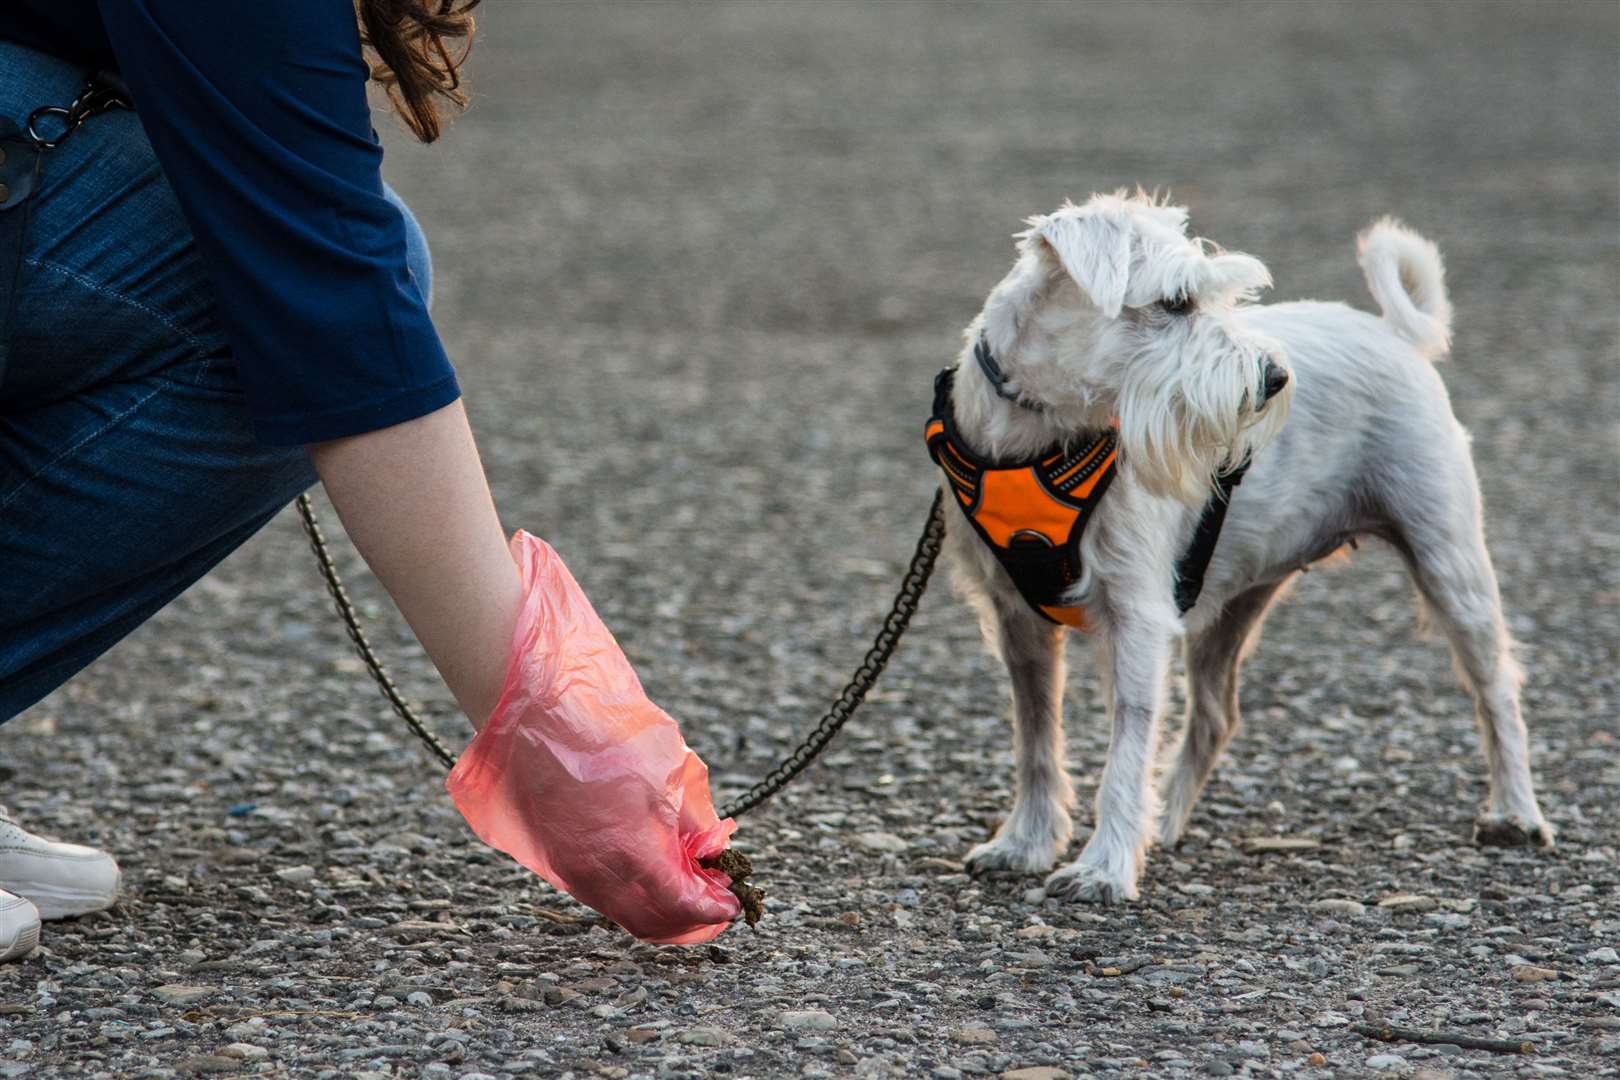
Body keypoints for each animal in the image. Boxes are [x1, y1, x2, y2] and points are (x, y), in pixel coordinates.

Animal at [946, 190, 1548, 900]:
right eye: (1177, 302)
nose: (1275, 376)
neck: (1044, 433)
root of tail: (1393, 334)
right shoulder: (1018, 620)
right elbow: (1036, 737)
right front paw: (1027, 842)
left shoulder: (1138, 619)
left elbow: (1126, 750)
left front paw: (1104, 867)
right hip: (1230, 608)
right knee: (1214, 715)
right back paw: (1163, 822)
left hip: (1451, 564)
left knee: (1496, 687)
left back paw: (1516, 813)